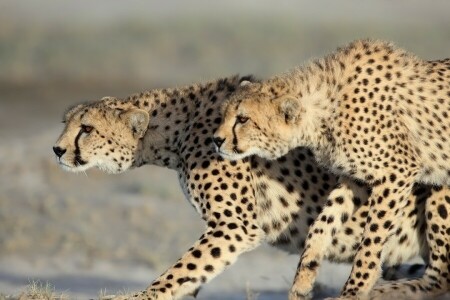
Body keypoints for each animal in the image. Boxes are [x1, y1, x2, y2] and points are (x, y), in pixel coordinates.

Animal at [54, 73, 448, 300]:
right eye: (66, 123)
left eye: (86, 129)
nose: (56, 150)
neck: (175, 129)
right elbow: (194, 272)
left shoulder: (235, 225)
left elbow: (183, 268)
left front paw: (141, 296)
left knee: (439, 276)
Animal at [214, 39, 450, 298]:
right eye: (223, 114)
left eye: (242, 119)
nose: (216, 140)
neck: (325, 108)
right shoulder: (355, 180)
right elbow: (322, 224)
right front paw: (303, 280)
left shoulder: (397, 173)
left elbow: (371, 240)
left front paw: (354, 290)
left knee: (440, 276)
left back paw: (384, 291)